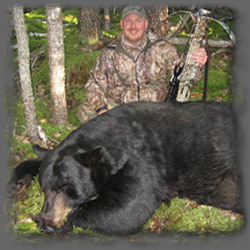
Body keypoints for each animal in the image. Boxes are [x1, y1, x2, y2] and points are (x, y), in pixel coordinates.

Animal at [7, 101, 242, 234]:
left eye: (63, 188)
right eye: (43, 189)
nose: (48, 216)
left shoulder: (146, 160)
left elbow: (130, 208)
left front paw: (53, 223)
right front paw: (16, 182)